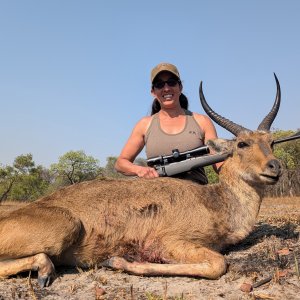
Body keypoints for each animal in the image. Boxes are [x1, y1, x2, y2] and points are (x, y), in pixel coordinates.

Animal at [0, 74, 282, 286]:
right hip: (66, 227)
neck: (215, 202)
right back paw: (45, 272)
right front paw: (117, 261)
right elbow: (218, 264)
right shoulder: (170, 241)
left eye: (271, 142)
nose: (275, 166)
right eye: (242, 144)